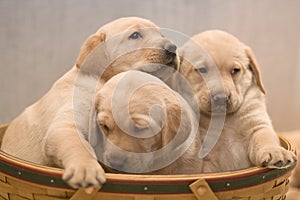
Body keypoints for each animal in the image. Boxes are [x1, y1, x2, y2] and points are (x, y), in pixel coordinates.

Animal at [1, 16, 179, 188]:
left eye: (162, 35)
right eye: (135, 35)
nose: (172, 47)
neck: (102, 81)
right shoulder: (65, 125)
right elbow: (77, 146)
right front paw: (86, 169)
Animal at [179, 29, 296, 172]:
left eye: (235, 70)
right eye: (201, 70)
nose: (221, 98)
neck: (225, 120)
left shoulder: (257, 124)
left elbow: (265, 138)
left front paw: (275, 151)